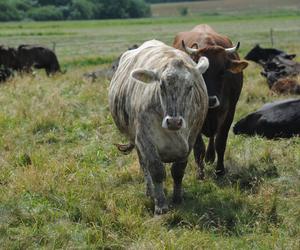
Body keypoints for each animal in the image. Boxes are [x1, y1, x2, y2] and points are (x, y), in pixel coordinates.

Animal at [109, 39, 210, 215]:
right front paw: (161, 205)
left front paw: (177, 198)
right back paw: (150, 192)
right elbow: (156, 171)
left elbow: (178, 171)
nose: (174, 121)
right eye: (161, 85)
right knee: (144, 166)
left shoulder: (189, 142)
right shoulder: (145, 140)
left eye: (190, 86)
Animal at [173, 23, 248, 178]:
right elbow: (198, 147)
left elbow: (220, 142)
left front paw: (220, 170)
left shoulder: (229, 113)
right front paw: (200, 173)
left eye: (222, 72)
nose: (211, 100)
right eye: (201, 72)